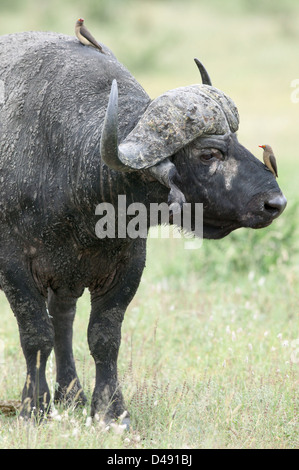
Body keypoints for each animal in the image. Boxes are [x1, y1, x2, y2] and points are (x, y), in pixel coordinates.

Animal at [0, 31, 288, 424]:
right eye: (209, 154)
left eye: (238, 141)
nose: (274, 203)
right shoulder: (14, 266)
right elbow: (35, 335)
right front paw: (34, 406)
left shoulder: (128, 265)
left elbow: (104, 337)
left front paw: (110, 411)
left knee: (63, 319)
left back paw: (72, 394)